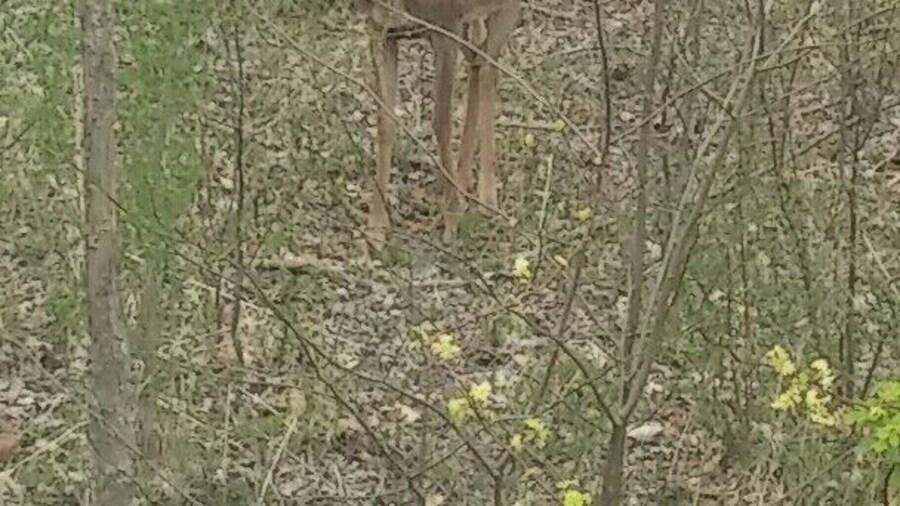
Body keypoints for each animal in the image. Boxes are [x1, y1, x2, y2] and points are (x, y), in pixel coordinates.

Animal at [354, 0, 521, 247]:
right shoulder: (379, 28)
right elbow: (385, 124)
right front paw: (375, 230)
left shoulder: (445, 27)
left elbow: (441, 122)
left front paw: (451, 220)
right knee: (477, 59)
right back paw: (463, 183)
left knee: (488, 69)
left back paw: (487, 199)